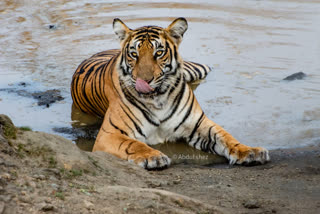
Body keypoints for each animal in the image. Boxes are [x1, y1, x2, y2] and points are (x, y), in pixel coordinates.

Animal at [71, 17, 268, 170]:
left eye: (158, 53)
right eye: (134, 54)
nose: (144, 80)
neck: (158, 99)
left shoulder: (198, 124)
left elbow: (226, 137)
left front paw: (249, 152)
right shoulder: (109, 134)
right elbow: (133, 144)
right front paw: (153, 157)